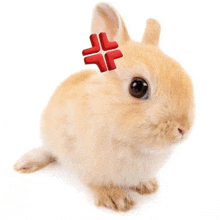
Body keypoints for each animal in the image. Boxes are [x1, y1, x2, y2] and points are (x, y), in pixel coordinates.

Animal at [14, 2, 194, 211]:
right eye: (138, 87)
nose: (183, 128)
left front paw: (147, 186)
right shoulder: (87, 164)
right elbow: (98, 183)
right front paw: (117, 199)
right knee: (49, 151)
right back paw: (25, 163)